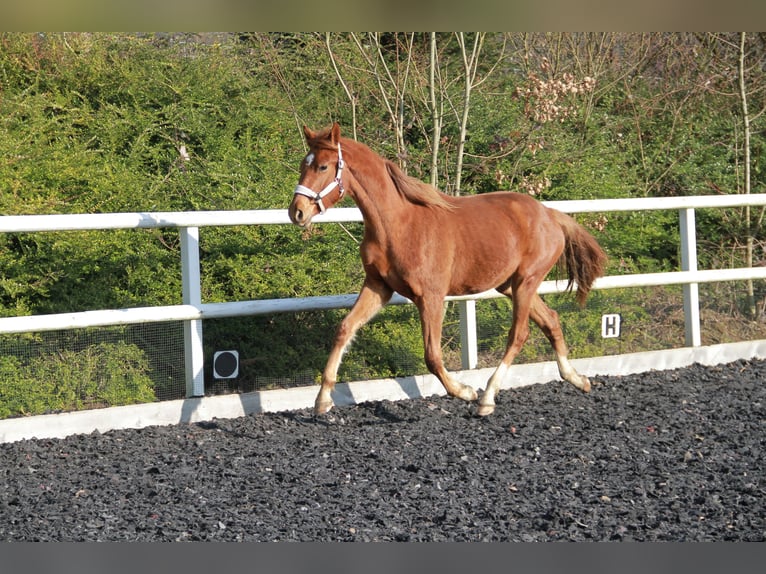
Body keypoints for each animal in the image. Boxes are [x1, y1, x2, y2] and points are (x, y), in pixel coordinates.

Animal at [288, 124, 608, 416]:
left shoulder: (430, 296)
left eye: (323, 165)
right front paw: (322, 400)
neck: (397, 225)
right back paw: (578, 379)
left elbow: (432, 355)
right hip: (510, 285)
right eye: (304, 164)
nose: (297, 212)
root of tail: (550, 215)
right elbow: (344, 328)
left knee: (519, 334)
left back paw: (486, 398)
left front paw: (465, 391)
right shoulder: (378, 287)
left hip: (526, 281)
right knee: (551, 320)